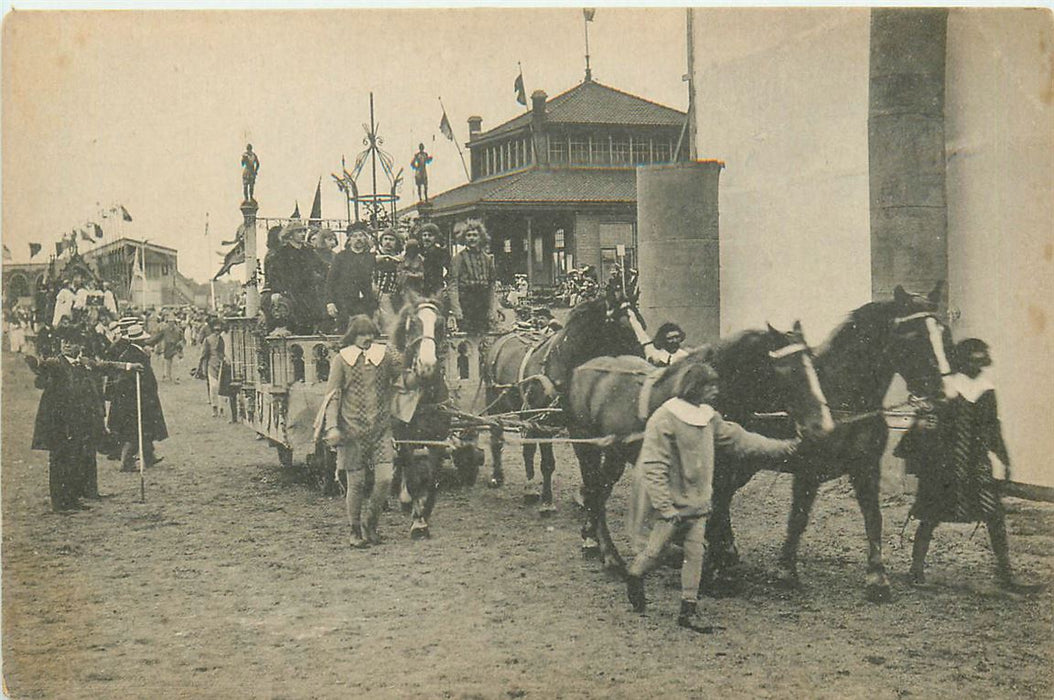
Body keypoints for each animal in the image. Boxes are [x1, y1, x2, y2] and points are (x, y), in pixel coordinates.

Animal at [569, 322, 830, 573]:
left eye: (813, 363)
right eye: (788, 369)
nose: (821, 424)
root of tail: (583, 368)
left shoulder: (727, 475)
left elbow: (719, 514)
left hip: (615, 453)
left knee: (600, 491)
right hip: (588, 449)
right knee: (594, 492)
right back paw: (608, 553)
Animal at [708, 284, 957, 603]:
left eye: (944, 333)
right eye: (914, 337)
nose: (946, 393)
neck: (843, 397)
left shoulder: (866, 468)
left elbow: (874, 519)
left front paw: (877, 578)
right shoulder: (807, 471)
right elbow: (798, 518)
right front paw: (786, 571)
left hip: (743, 462)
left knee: (722, 498)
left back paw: (725, 554)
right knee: (717, 499)